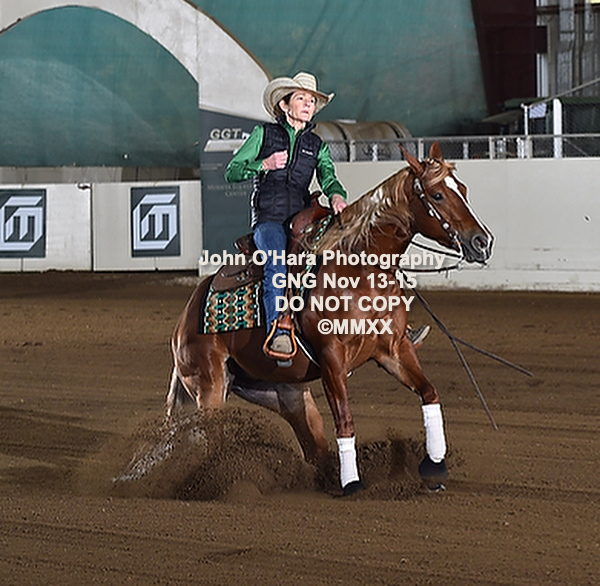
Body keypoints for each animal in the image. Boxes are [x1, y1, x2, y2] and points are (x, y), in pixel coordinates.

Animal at [167, 142, 493, 495]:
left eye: (462, 189)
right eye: (437, 195)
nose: (482, 241)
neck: (361, 269)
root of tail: (185, 318)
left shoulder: (394, 350)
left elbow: (429, 393)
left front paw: (434, 465)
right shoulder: (332, 358)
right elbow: (345, 421)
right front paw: (352, 483)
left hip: (286, 394)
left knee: (314, 447)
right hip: (209, 387)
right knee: (212, 441)